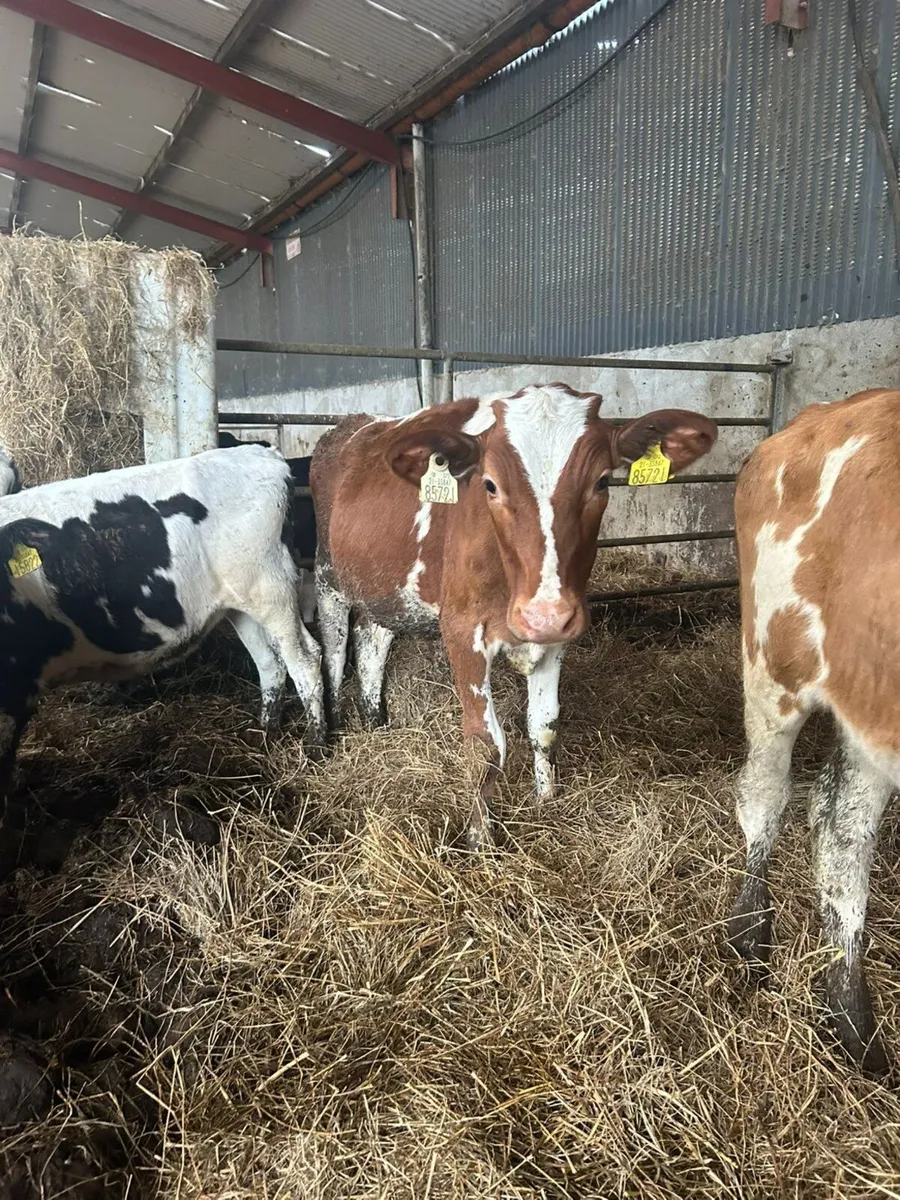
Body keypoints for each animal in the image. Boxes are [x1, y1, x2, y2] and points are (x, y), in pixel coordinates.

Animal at [311, 383, 717, 849]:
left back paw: (377, 724)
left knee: (371, 643)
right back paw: (330, 736)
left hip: (385, 588)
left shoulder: (558, 632)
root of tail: (354, 423)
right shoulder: (462, 631)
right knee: (334, 651)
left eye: (601, 481)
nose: (542, 615)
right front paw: (479, 838)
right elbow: (486, 744)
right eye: (489, 485)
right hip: (327, 576)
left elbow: (544, 727)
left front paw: (546, 802)